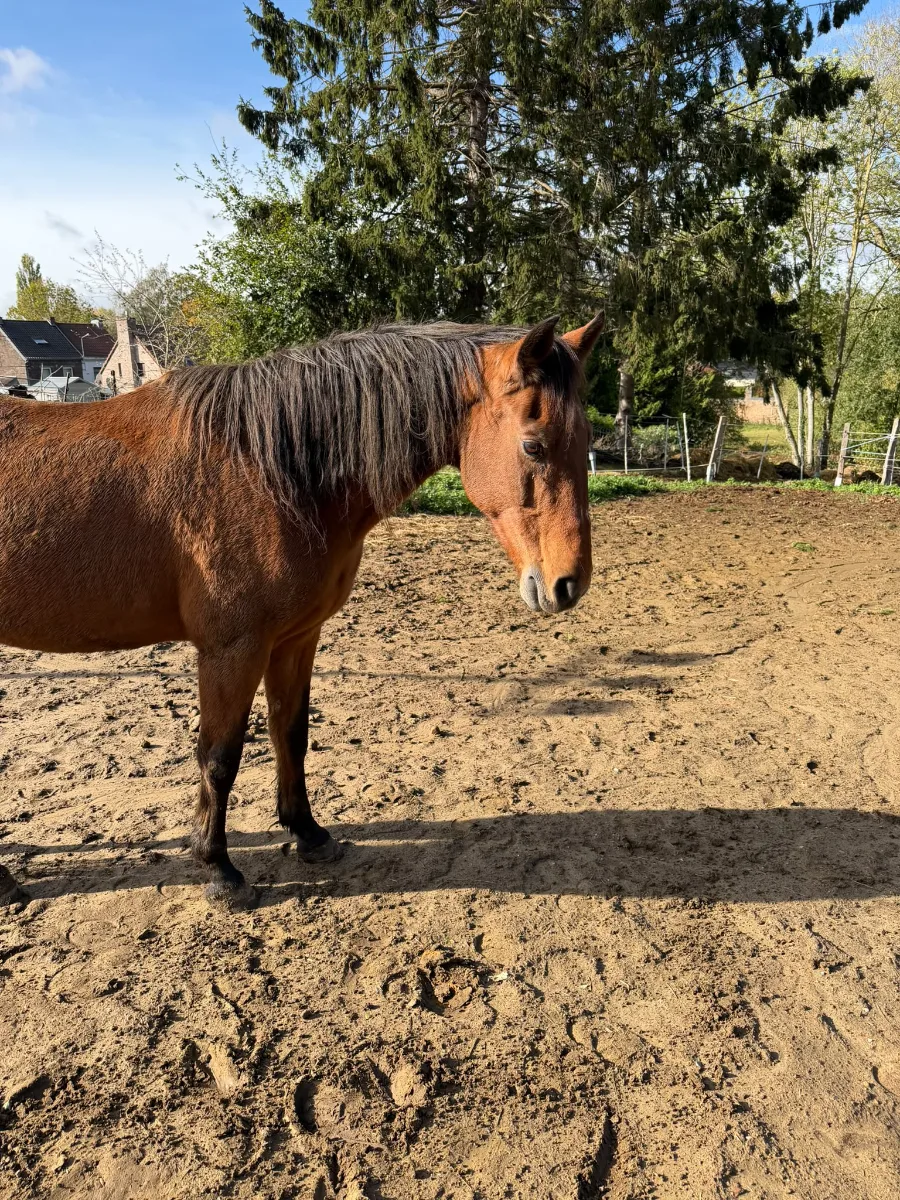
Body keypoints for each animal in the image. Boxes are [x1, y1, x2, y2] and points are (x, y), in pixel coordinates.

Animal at [0, 313, 604, 907]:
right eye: (533, 447)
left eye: (585, 442)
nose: (568, 584)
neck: (267, 471)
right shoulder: (232, 650)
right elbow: (219, 756)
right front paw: (219, 869)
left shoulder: (295, 638)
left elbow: (290, 733)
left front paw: (308, 833)